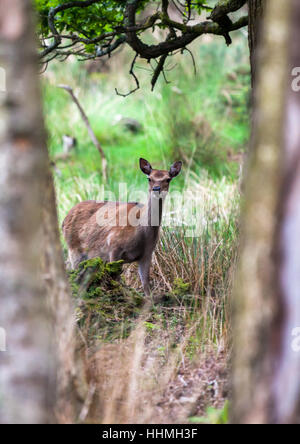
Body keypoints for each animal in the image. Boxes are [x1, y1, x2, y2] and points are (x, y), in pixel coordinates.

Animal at [62, 158, 182, 296]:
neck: (142, 233)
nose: (156, 188)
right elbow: (116, 280)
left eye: (168, 179)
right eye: (149, 178)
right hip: (74, 249)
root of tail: (64, 220)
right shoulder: (114, 246)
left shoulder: (147, 253)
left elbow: (146, 285)